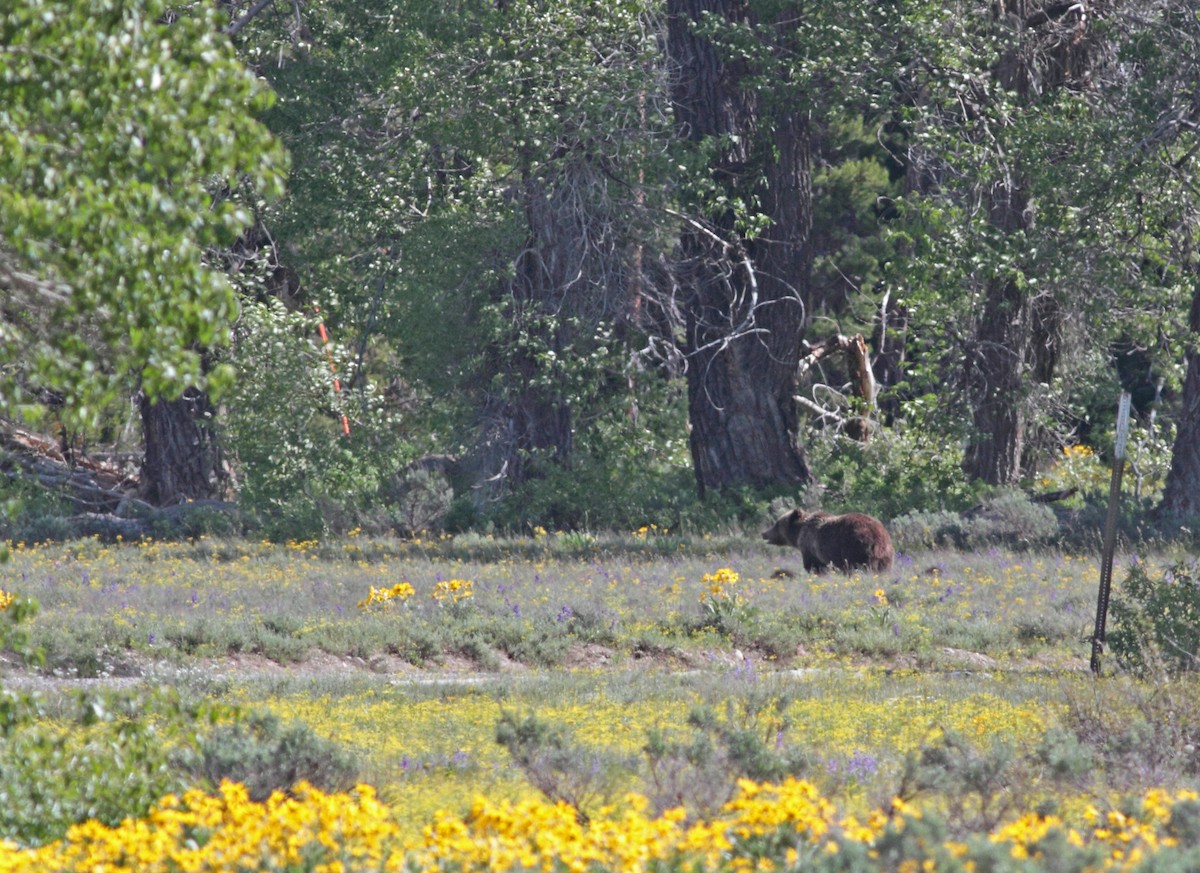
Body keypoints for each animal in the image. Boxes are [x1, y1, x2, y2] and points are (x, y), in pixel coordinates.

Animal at [761, 508, 894, 574]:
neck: (799, 533)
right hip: (886, 556)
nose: (764, 533)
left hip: (855, 548)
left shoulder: (810, 547)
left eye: (776, 524)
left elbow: (814, 567)